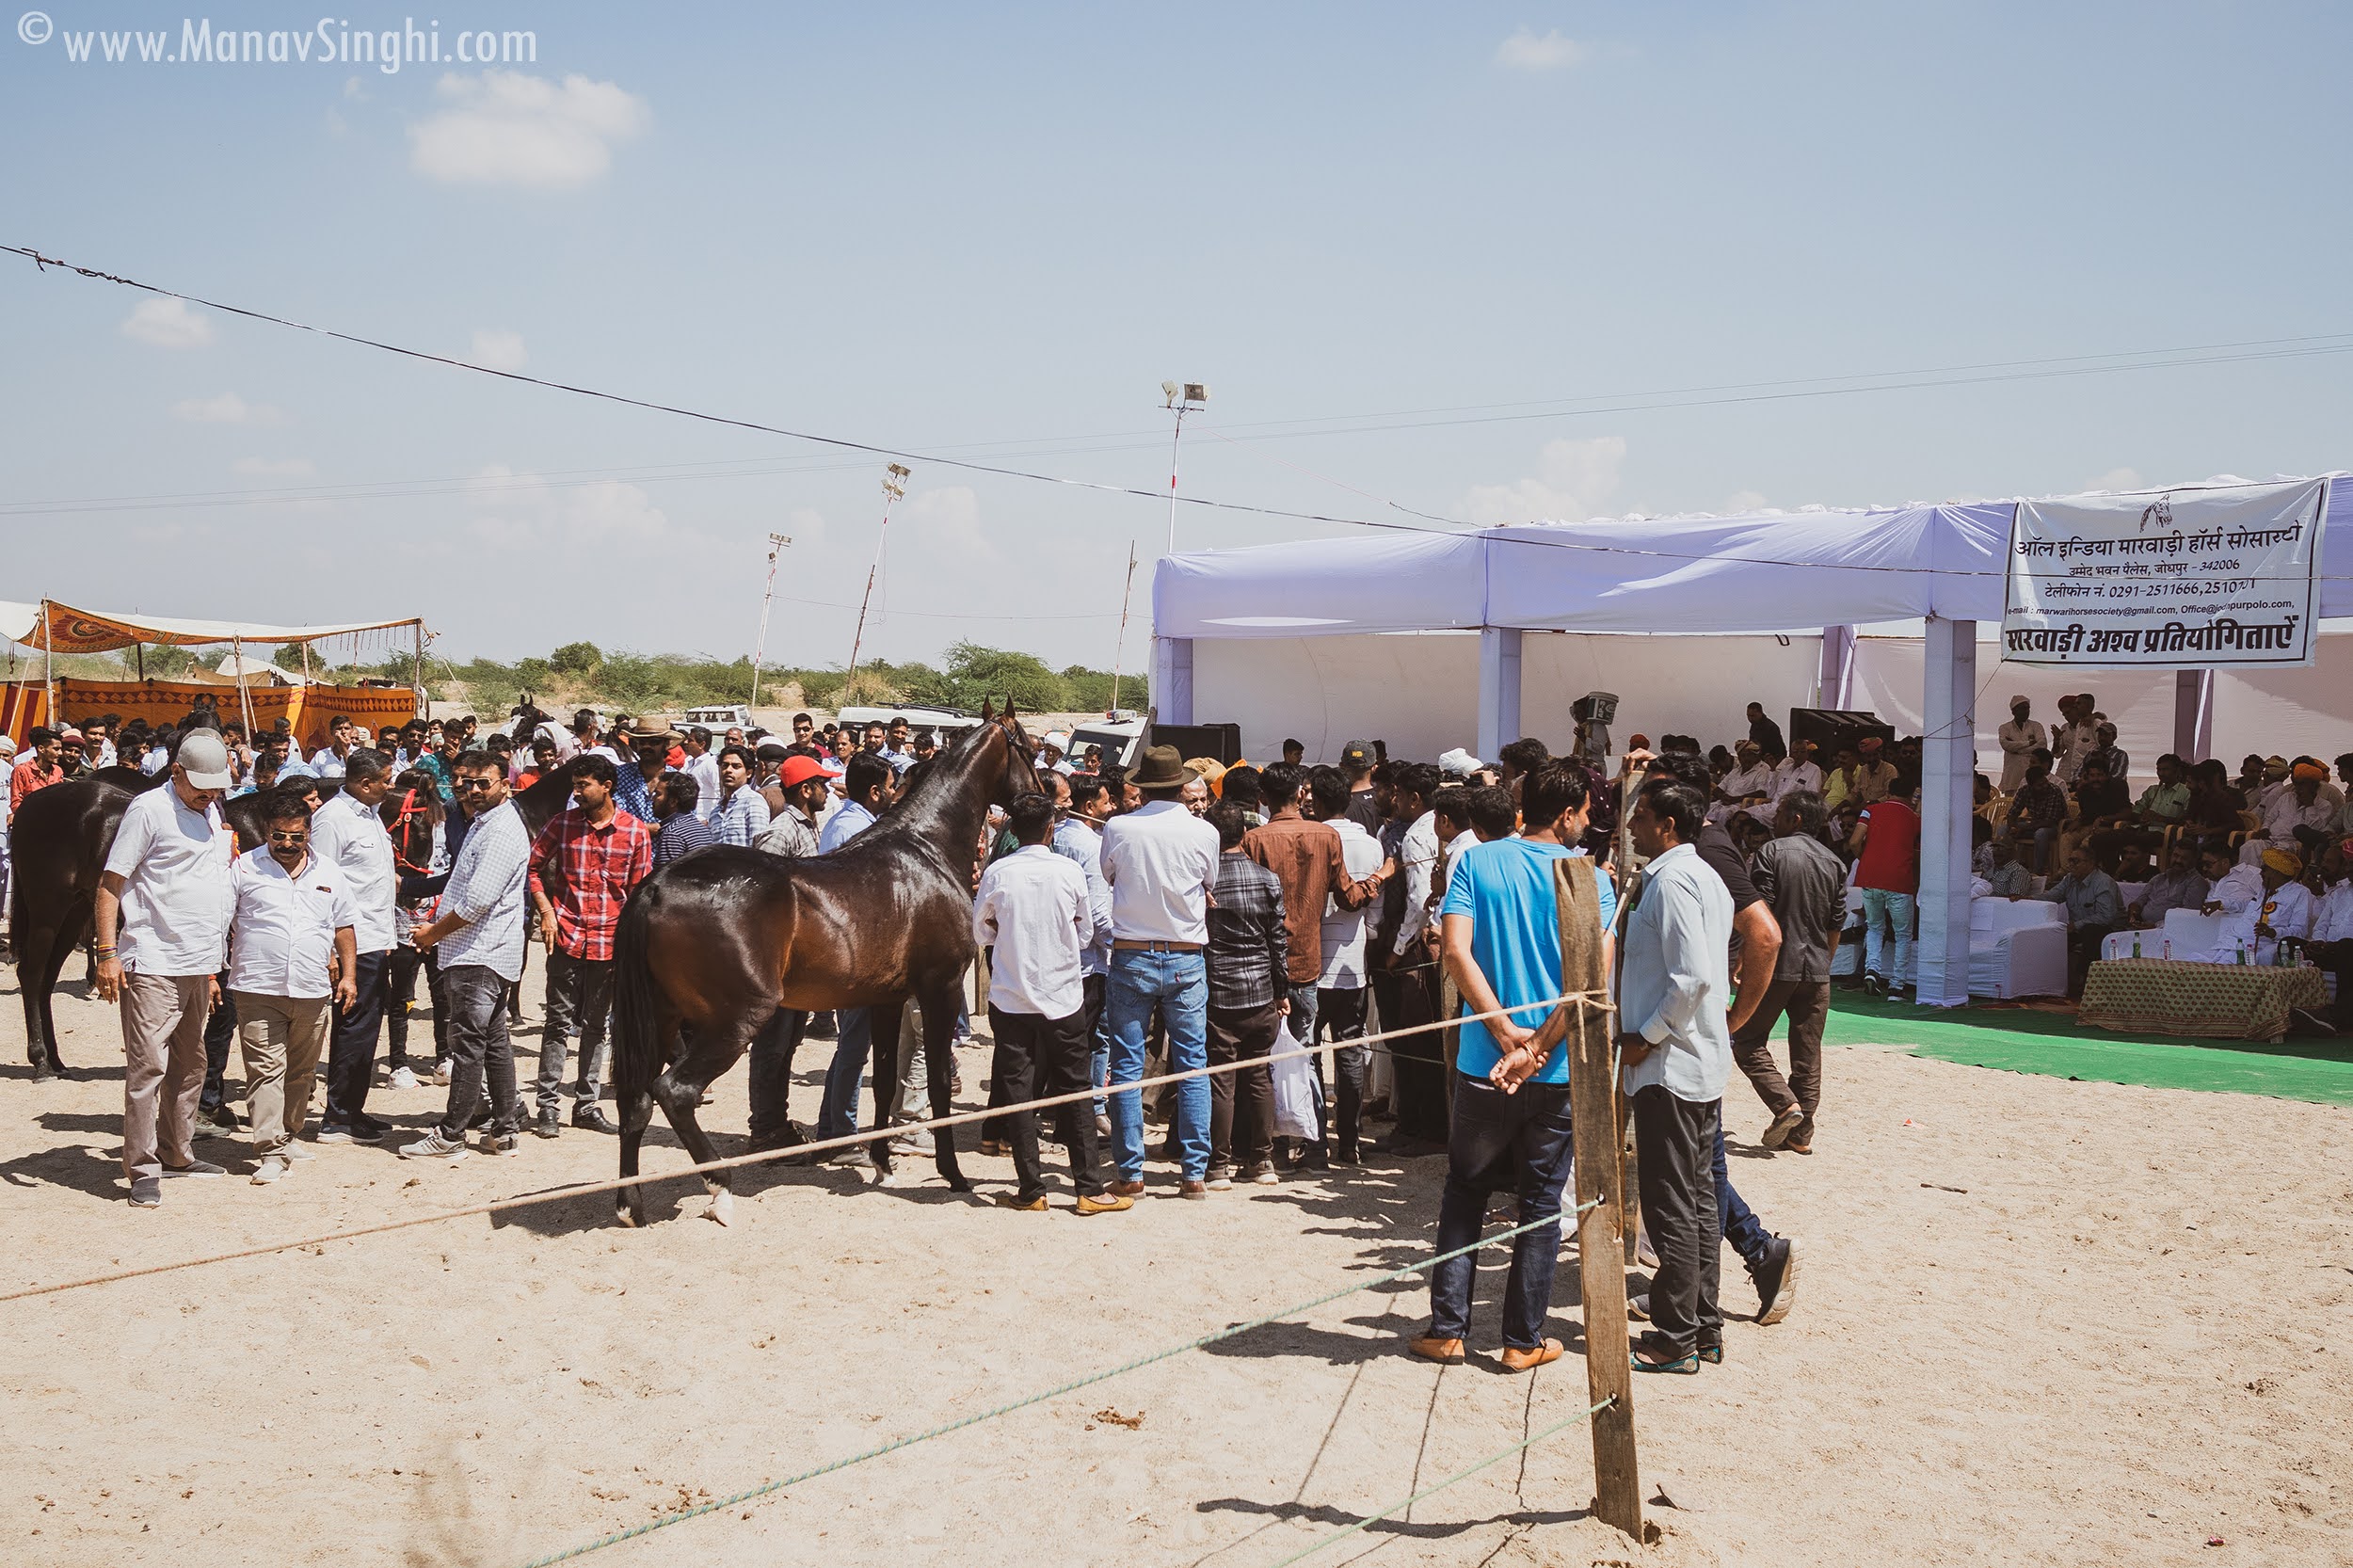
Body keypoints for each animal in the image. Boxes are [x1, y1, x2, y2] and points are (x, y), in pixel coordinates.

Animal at [612, 706, 1045, 1224]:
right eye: (1029, 748)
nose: (1045, 798)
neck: (926, 851)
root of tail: (657, 884)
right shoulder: (939, 990)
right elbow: (938, 1081)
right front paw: (952, 1173)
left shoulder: (888, 1000)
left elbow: (882, 1079)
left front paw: (882, 1164)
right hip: (736, 1020)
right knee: (674, 1092)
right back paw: (720, 1189)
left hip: (660, 1017)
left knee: (635, 1098)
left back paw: (629, 1204)